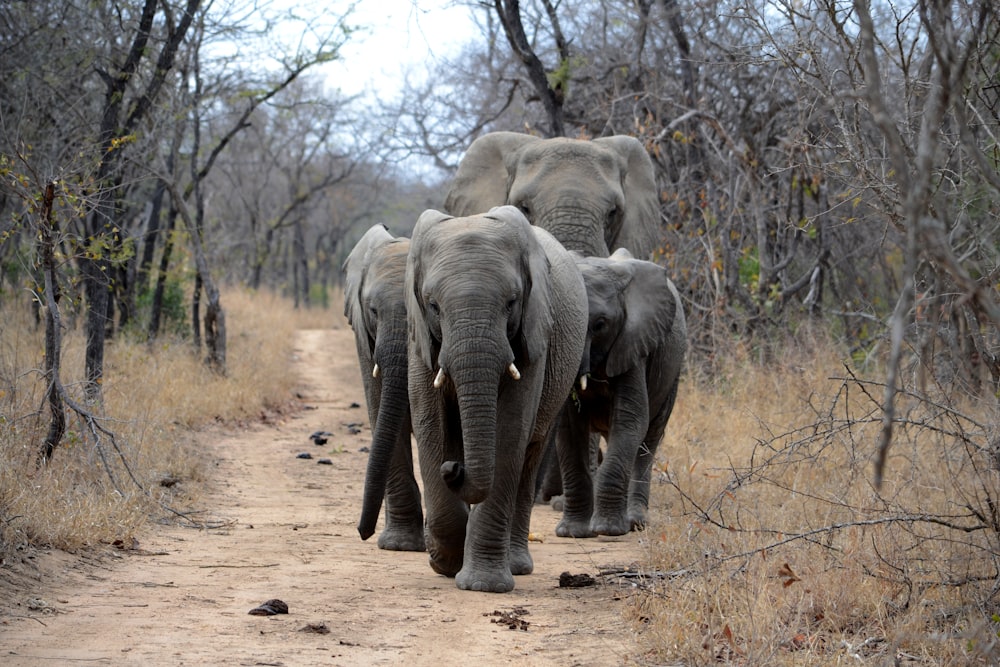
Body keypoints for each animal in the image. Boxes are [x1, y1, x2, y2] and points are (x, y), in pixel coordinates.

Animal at [406, 206, 588, 592]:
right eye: (433, 305)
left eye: (511, 303)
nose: (454, 468)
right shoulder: (419, 337)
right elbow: (430, 423)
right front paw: (444, 563)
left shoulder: (535, 332)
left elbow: (509, 431)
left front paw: (481, 585)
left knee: (530, 455)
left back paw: (516, 565)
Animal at [556, 249, 688, 536]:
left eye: (600, 324)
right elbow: (568, 429)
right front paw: (572, 532)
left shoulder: (634, 344)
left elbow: (631, 420)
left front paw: (607, 530)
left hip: (672, 372)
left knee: (647, 441)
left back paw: (635, 521)